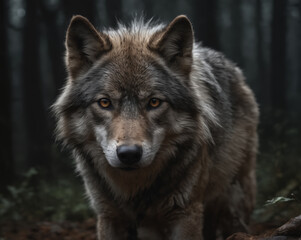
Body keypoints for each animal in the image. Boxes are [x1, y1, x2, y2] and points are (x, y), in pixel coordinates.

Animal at [53, 15, 258, 240]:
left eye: (154, 102)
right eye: (105, 103)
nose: (129, 154)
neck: (134, 187)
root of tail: (233, 67)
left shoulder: (186, 213)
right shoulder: (108, 216)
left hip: (233, 197)